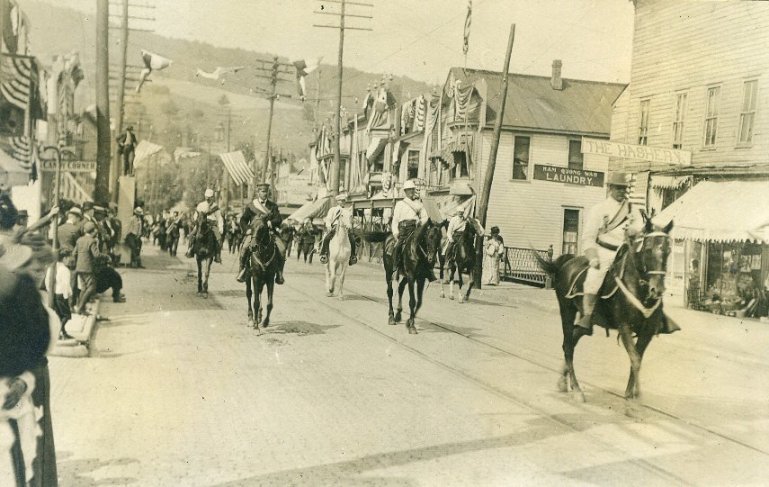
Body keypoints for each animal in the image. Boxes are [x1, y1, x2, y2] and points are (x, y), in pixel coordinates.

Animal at [536, 215, 676, 406]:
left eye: (668, 250)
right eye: (648, 249)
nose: (658, 289)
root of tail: (568, 262)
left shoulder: (646, 331)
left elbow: (637, 359)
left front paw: (632, 394)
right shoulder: (624, 327)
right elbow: (635, 359)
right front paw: (632, 399)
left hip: (587, 322)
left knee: (573, 339)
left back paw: (563, 381)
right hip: (566, 311)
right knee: (568, 346)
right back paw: (577, 389)